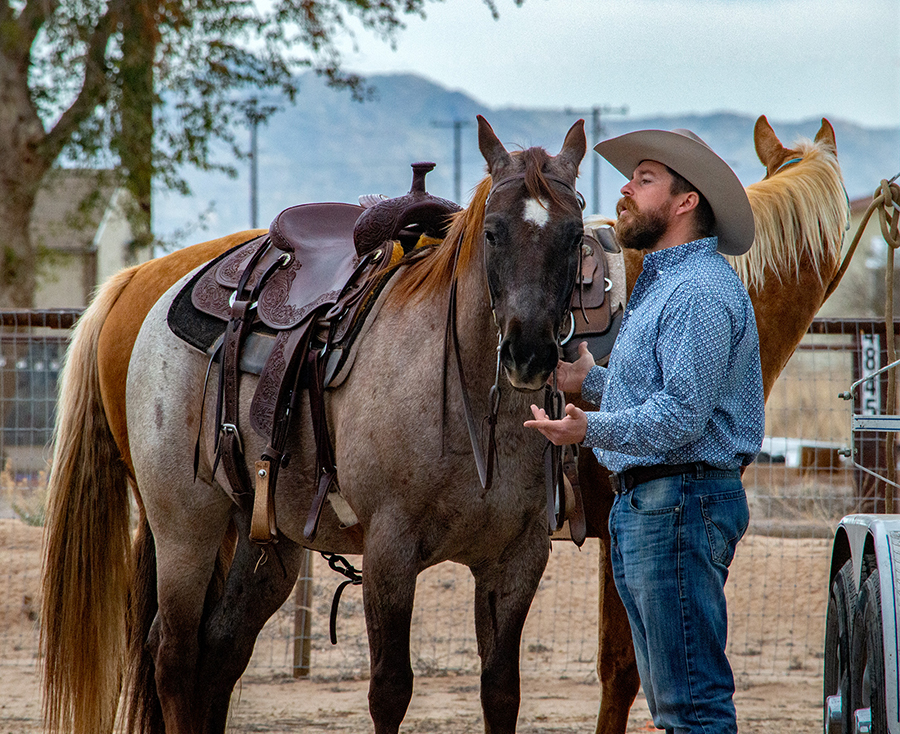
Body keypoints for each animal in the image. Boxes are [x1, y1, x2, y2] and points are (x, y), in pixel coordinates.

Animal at [40, 116, 588, 734]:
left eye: (575, 236)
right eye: (493, 233)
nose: (529, 354)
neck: (465, 401)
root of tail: (148, 290)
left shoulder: (517, 560)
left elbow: (500, 691)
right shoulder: (390, 552)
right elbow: (390, 689)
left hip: (264, 540)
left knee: (220, 649)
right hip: (184, 528)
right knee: (174, 656)